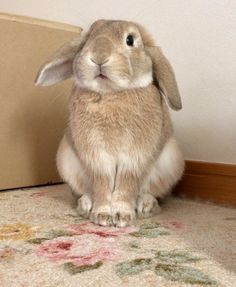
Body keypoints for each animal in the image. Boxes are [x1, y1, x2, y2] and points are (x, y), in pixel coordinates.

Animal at [36, 19, 185, 228]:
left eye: (130, 40)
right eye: (88, 38)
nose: (99, 56)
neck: (110, 92)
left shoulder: (134, 157)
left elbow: (126, 184)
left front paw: (122, 216)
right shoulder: (96, 156)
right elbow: (102, 183)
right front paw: (102, 216)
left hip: (171, 163)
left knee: (153, 193)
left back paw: (147, 206)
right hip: (66, 160)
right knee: (84, 191)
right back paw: (85, 205)